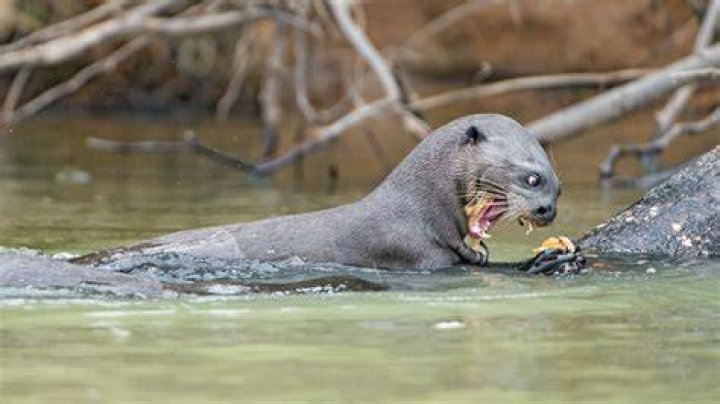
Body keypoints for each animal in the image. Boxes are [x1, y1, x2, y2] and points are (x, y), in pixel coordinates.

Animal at [75, 114, 582, 274]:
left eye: (558, 186)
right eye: (532, 179)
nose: (548, 210)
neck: (417, 210)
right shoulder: (413, 253)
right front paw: (543, 261)